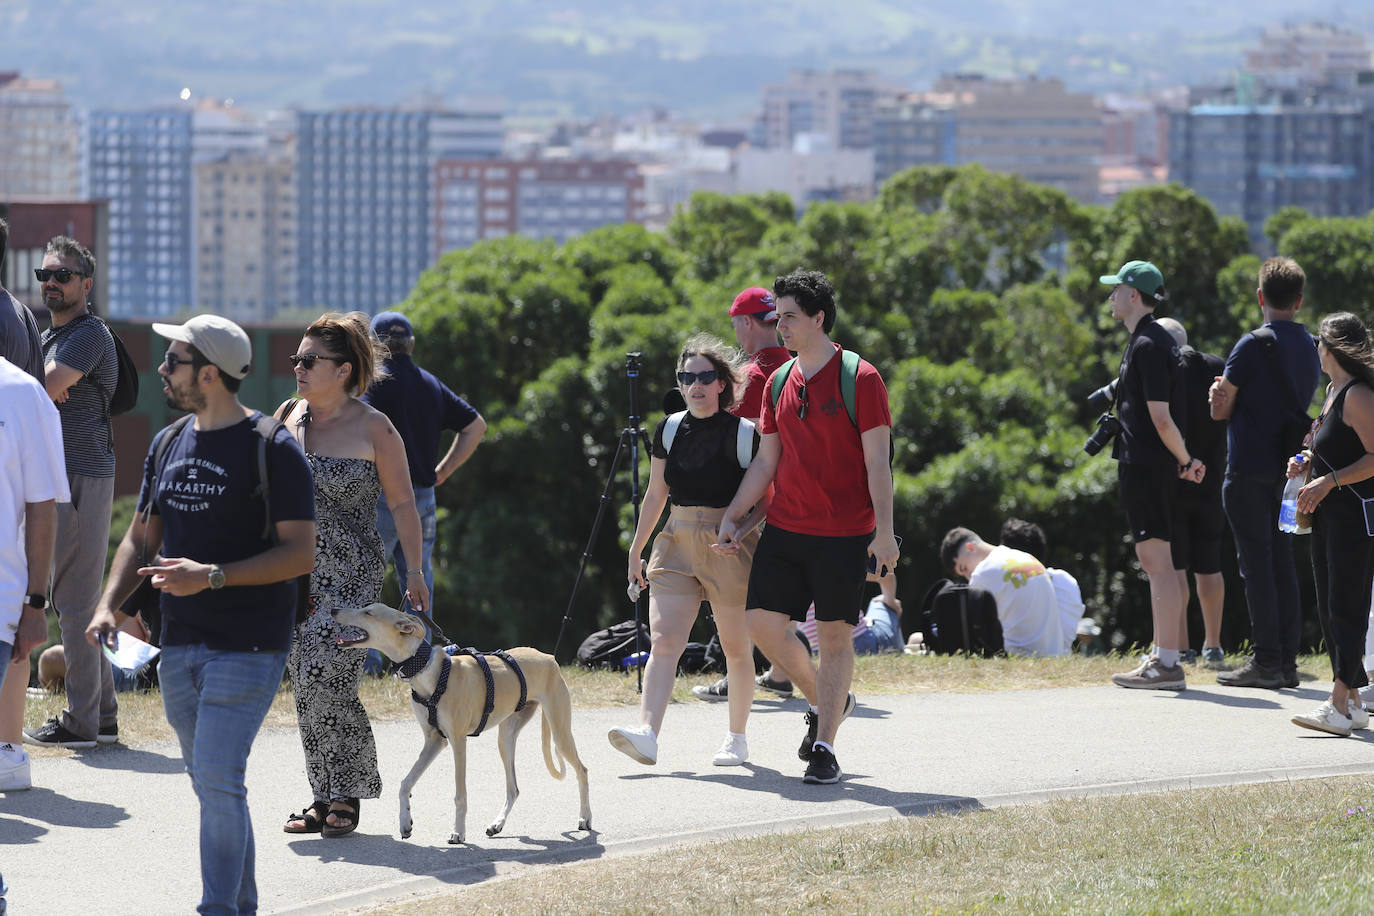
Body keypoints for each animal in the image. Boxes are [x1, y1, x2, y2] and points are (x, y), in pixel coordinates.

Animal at [335, 601, 593, 845]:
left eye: (368, 612)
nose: (334, 610)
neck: (430, 673)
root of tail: (548, 657)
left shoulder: (457, 741)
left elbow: (460, 795)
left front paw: (458, 832)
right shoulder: (434, 740)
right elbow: (405, 783)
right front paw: (405, 822)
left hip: (560, 731)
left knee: (582, 770)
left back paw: (585, 818)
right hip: (506, 737)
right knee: (513, 788)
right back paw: (497, 824)